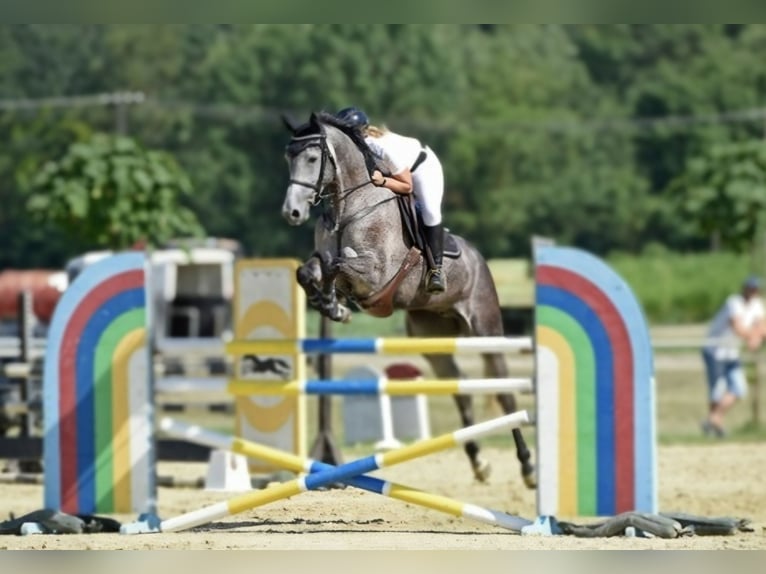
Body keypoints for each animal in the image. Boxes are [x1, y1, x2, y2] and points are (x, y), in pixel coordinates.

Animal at [280, 112, 536, 490]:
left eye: (312, 158)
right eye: (288, 157)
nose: (292, 212)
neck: (348, 206)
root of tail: (479, 259)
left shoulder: (375, 273)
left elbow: (336, 265)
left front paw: (333, 303)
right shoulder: (326, 260)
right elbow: (310, 270)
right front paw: (332, 305)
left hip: (486, 329)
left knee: (504, 393)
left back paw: (528, 469)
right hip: (433, 339)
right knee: (460, 390)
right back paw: (479, 463)